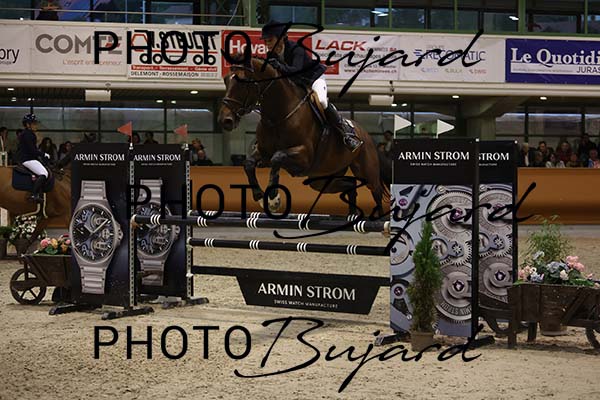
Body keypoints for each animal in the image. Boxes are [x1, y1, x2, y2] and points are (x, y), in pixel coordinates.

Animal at [218, 56, 390, 218]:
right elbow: (248, 164)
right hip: (322, 180)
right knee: (351, 185)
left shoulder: (304, 155)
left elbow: (277, 157)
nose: (225, 120)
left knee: (376, 192)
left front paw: (273, 199)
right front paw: (260, 197)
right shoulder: (263, 153)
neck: (277, 117)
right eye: (226, 80)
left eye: (243, 82)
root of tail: (366, 135)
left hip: (366, 171)